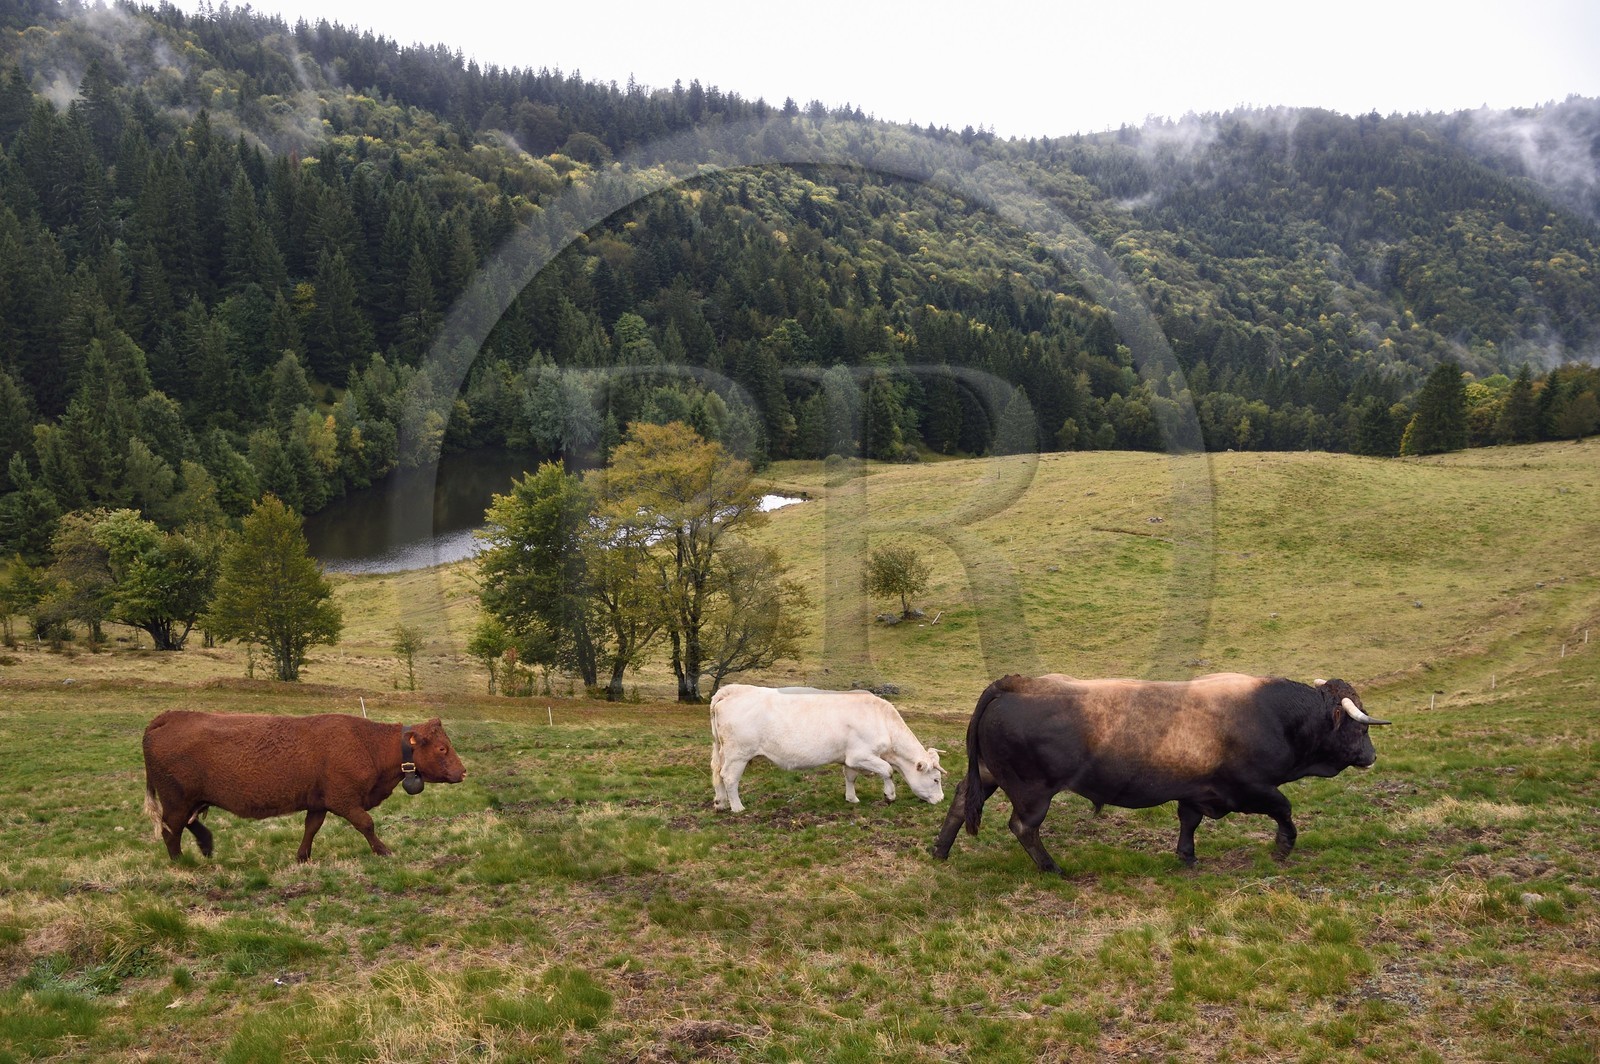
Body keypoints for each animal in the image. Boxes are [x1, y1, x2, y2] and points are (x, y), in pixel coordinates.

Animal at [142, 710, 466, 862]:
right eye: (442, 748)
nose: (463, 772)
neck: (368, 743)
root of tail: (167, 717)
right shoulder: (344, 801)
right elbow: (366, 823)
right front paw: (384, 851)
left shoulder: (318, 802)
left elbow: (311, 827)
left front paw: (302, 856)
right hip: (177, 800)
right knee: (171, 829)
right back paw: (181, 861)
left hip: (192, 799)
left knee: (188, 823)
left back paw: (206, 846)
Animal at [709, 684, 946, 812]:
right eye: (936, 779)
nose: (942, 799)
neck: (882, 720)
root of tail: (735, 690)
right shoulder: (861, 755)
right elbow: (887, 770)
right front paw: (889, 795)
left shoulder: (849, 758)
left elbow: (850, 777)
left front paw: (852, 798)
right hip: (738, 754)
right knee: (729, 777)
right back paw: (737, 807)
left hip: (723, 751)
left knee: (717, 773)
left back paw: (720, 803)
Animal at [931, 673, 1388, 872]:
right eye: (1359, 726)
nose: (1371, 756)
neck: (1272, 714)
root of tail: (1014, 683)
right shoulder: (1253, 786)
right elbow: (1286, 810)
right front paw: (1282, 849)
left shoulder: (1195, 789)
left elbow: (1188, 821)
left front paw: (1186, 856)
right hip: (1032, 789)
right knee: (1023, 826)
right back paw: (1052, 868)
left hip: (988, 773)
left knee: (959, 800)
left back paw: (939, 851)